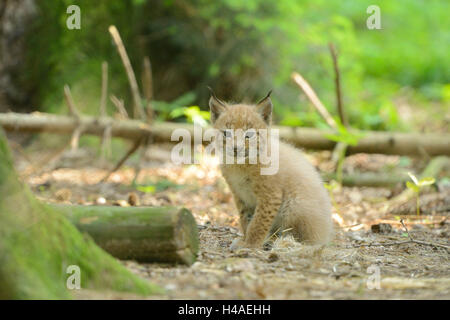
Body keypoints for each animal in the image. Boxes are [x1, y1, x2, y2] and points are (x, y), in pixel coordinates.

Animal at [209, 90, 332, 250]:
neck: (239, 165)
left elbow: (258, 222)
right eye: (227, 133)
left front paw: (251, 244)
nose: (236, 148)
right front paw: (246, 239)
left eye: (249, 135)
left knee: (305, 240)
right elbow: (245, 219)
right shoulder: (240, 194)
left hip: (295, 205)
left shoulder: (270, 195)